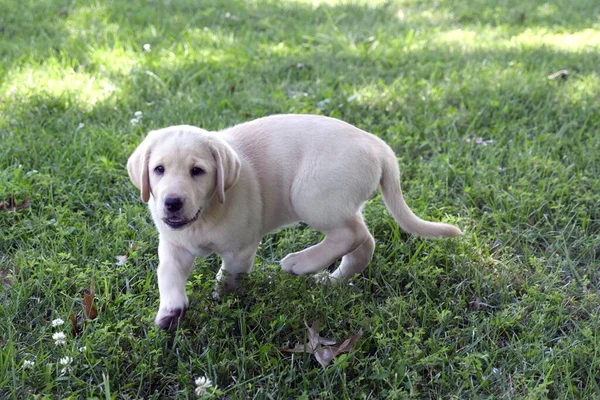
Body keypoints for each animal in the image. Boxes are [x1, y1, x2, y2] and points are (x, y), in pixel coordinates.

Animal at [129, 114, 462, 326]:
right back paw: (332, 280)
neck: (204, 213)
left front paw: (222, 299)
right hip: (339, 202)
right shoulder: (173, 244)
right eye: (159, 169)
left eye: (197, 171)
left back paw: (300, 263)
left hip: (310, 196)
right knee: (364, 242)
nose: (172, 203)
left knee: (352, 233)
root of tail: (379, 146)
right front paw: (170, 310)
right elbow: (167, 272)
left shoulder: (241, 249)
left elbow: (228, 276)